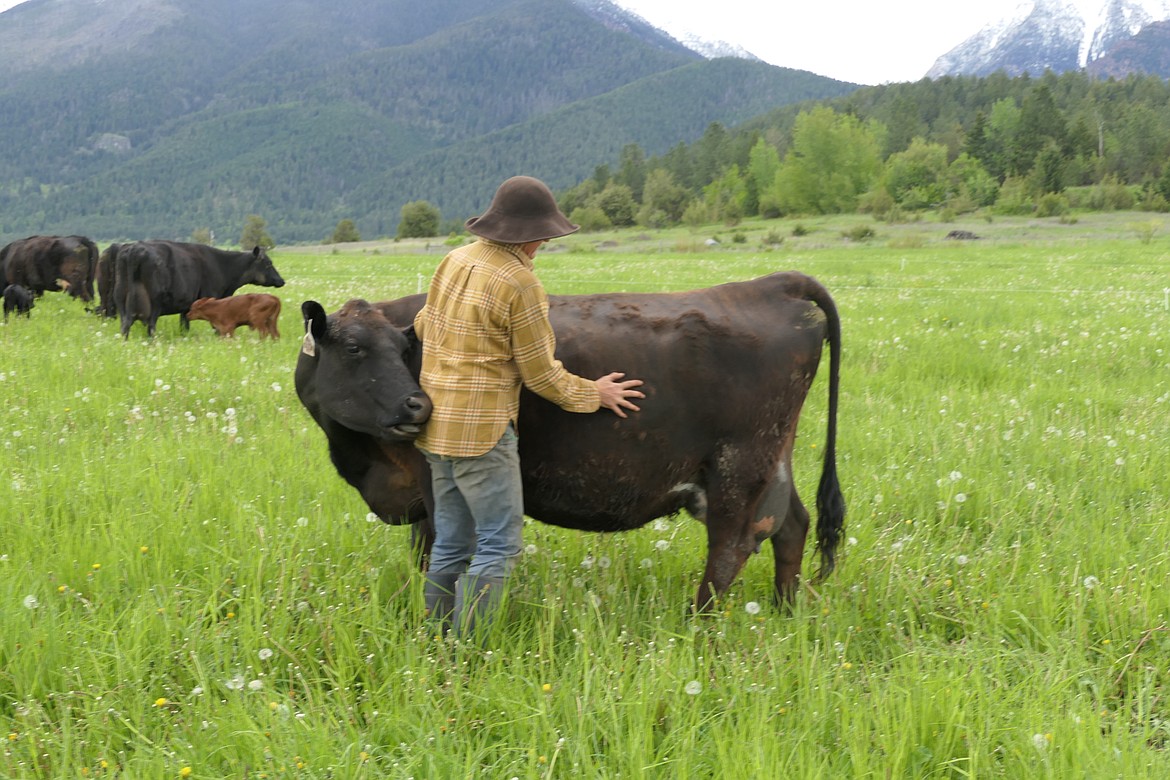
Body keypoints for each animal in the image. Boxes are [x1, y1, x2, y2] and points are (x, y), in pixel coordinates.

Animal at [113, 240, 285, 339]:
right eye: (268, 263)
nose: (281, 280)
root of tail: (134, 249)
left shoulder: (186, 307)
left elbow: (185, 327)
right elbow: (217, 328)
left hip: (121, 298)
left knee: (125, 325)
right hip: (155, 302)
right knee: (151, 327)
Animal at [292, 273, 842, 608]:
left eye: (401, 348)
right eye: (356, 348)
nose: (418, 406)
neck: (368, 464)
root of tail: (770, 284)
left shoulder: (432, 484)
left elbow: (435, 555)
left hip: (736, 467)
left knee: (731, 548)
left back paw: (698, 624)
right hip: (771, 460)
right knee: (792, 526)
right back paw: (784, 610)